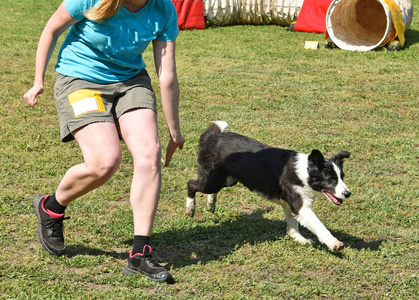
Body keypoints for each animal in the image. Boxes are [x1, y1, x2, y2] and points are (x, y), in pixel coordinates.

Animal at [186, 121, 352, 251]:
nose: (348, 194)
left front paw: (299, 239)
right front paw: (334, 243)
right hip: (212, 180)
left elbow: (293, 225)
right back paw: (190, 208)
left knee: (211, 190)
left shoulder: (289, 204)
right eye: (330, 179)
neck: (304, 172)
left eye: (342, 177)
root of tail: (213, 136)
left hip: (226, 180)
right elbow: (319, 226)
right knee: (191, 184)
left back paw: (210, 203)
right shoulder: (300, 206)